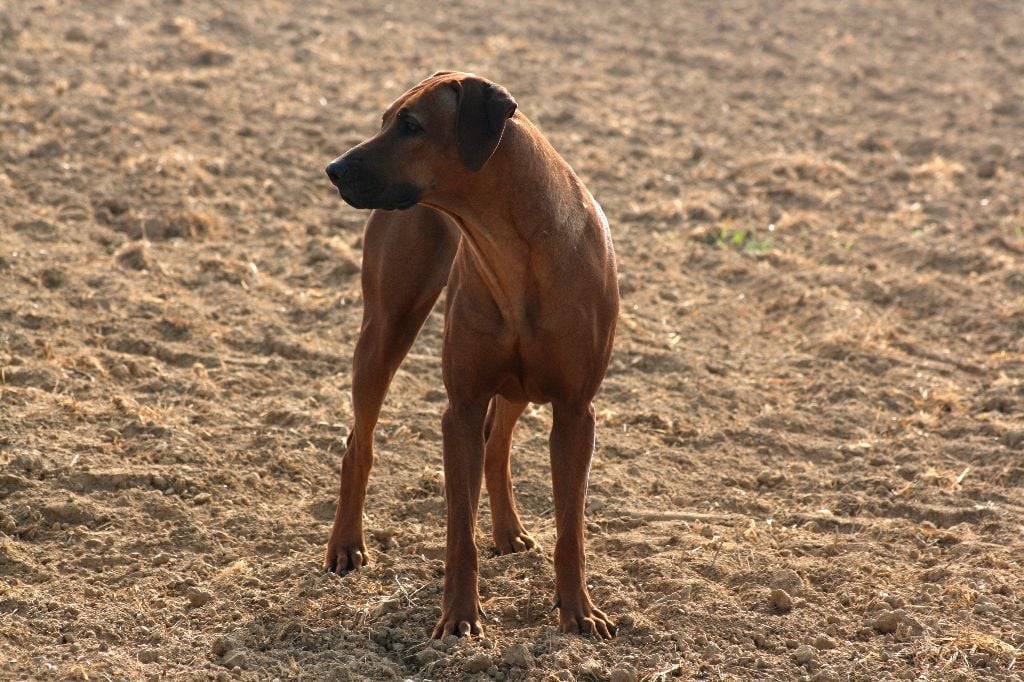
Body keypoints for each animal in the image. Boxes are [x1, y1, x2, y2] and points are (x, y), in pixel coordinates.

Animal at [324, 71, 619, 639]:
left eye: (410, 125)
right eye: (384, 120)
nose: (333, 170)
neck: (515, 249)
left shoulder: (576, 412)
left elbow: (570, 528)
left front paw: (578, 612)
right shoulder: (459, 407)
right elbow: (459, 528)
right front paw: (459, 615)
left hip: (517, 384)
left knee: (497, 444)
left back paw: (507, 531)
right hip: (385, 329)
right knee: (359, 443)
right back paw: (346, 544)